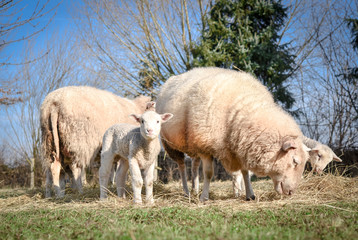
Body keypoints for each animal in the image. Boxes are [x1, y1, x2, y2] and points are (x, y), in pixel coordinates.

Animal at [157, 66, 310, 202]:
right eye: (295, 161)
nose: (291, 192)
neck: (240, 111)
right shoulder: (206, 147)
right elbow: (208, 173)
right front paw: (204, 197)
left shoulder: (241, 147)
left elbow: (245, 173)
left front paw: (250, 195)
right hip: (171, 145)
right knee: (182, 167)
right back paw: (186, 192)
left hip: (193, 142)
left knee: (194, 166)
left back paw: (195, 189)